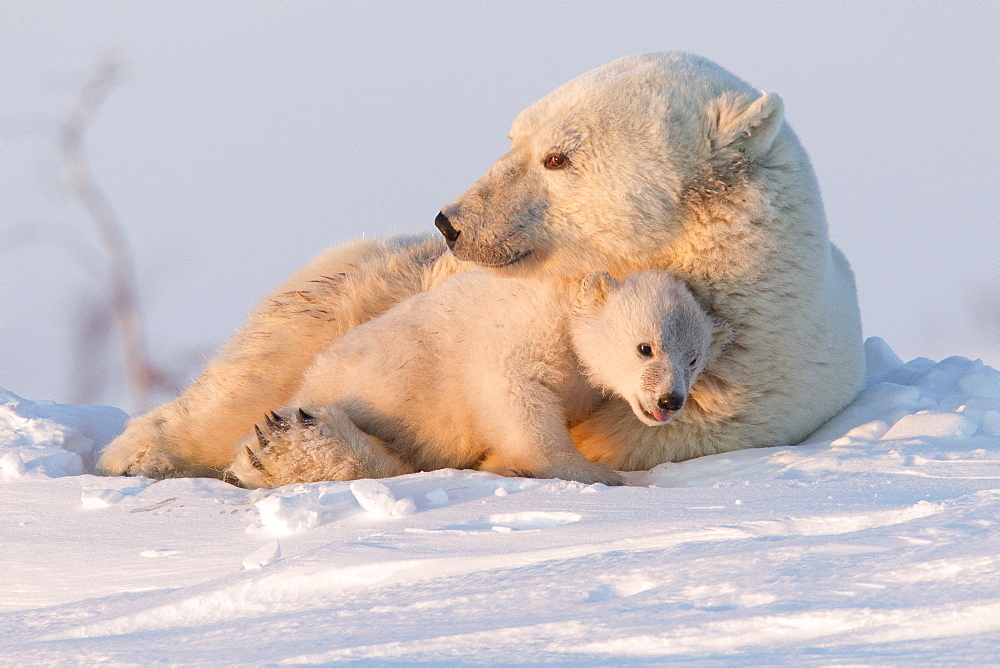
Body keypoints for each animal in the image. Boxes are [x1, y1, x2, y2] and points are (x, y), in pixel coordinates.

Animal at [225, 268, 728, 488]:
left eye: (693, 360)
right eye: (646, 347)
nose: (669, 401)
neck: (567, 301)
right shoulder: (523, 333)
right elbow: (513, 394)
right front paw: (595, 472)